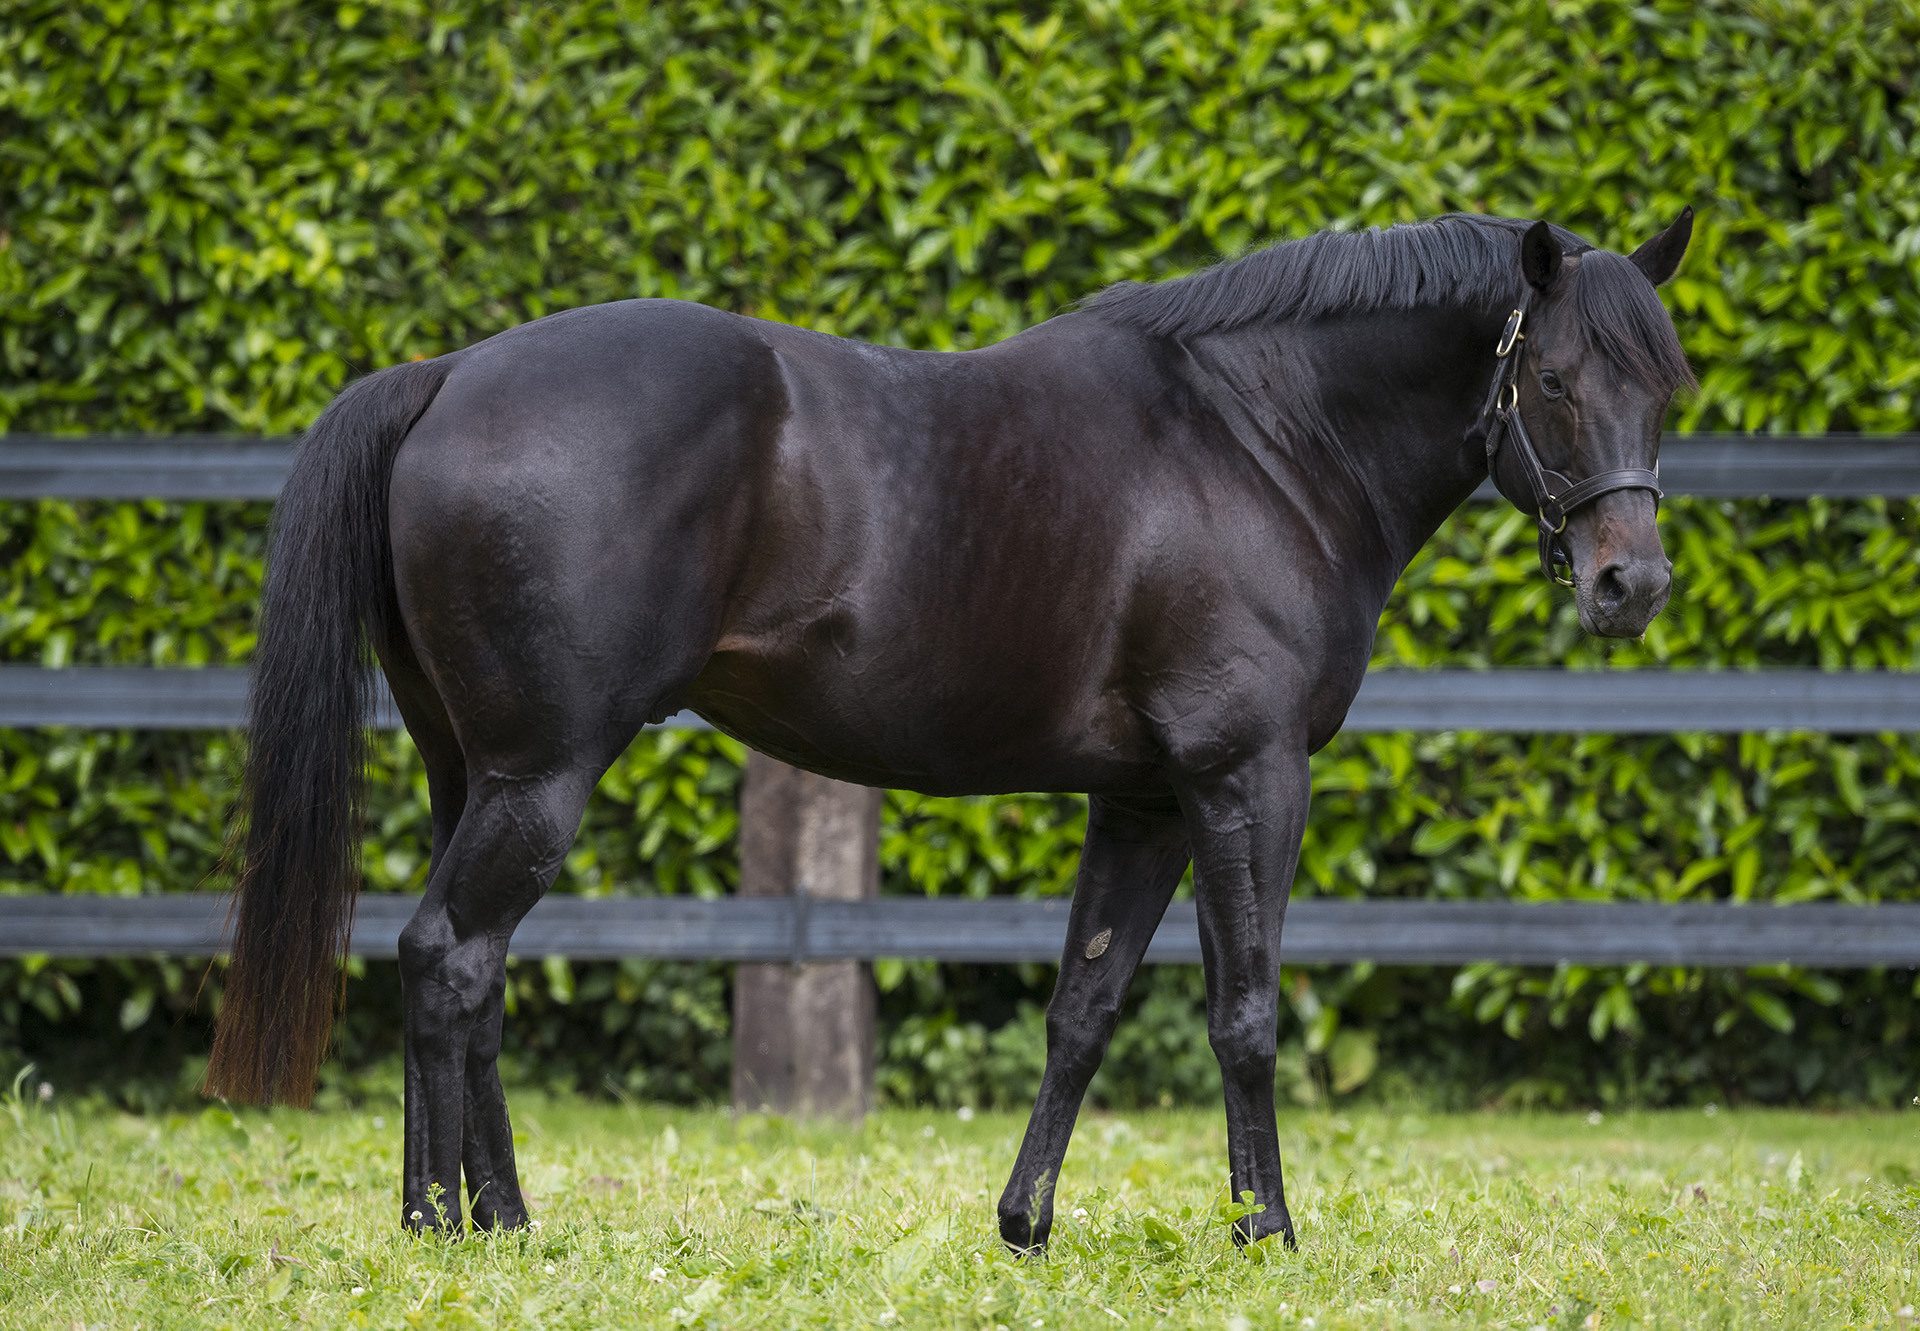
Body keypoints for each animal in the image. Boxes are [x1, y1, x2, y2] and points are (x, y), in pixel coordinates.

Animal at [206, 207, 1697, 1244]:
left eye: (1665, 388)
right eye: (1554, 381)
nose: (1631, 584)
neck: (1259, 437)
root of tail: (451, 372)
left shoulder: (1143, 797)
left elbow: (1084, 1003)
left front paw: (1025, 1224)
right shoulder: (1245, 778)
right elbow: (1245, 1010)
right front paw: (1265, 1231)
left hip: (474, 771)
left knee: (468, 969)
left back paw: (492, 1219)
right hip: (541, 776)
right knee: (447, 957)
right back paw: (452, 1226)